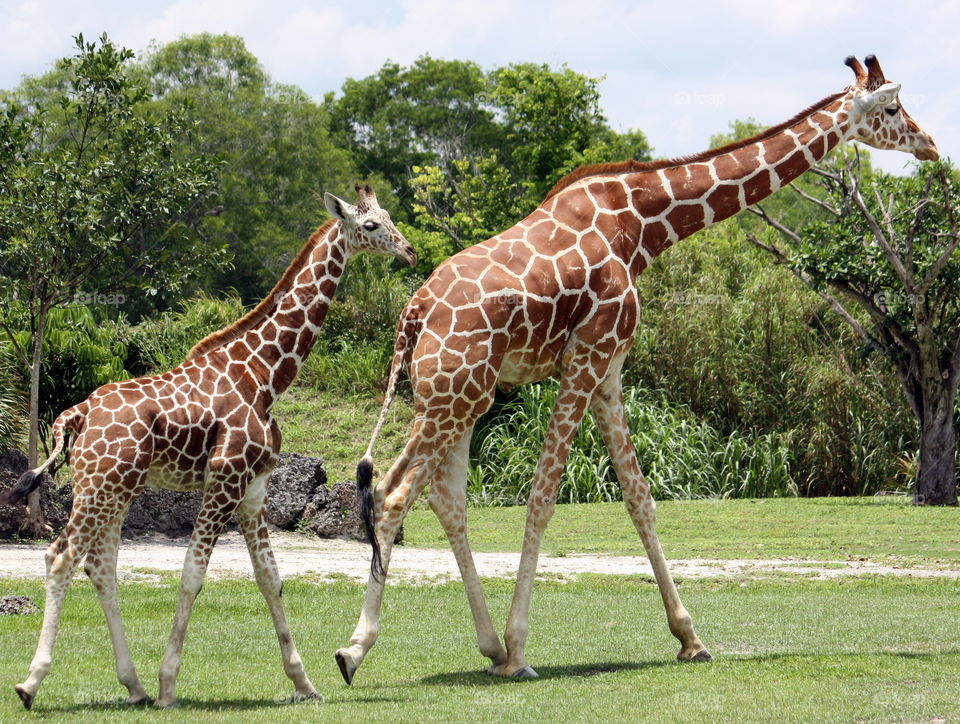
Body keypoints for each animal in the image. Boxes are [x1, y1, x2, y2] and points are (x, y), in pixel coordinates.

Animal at [2, 184, 416, 708]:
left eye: (388, 216)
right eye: (370, 225)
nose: (409, 250)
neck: (264, 374)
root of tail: (75, 414)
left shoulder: (253, 488)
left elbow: (270, 579)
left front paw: (304, 683)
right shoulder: (224, 478)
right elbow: (193, 576)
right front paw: (169, 686)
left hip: (113, 488)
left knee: (100, 566)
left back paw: (133, 685)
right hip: (102, 486)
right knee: (61, 557)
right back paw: (31, 683)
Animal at [336, 58, 936, 684]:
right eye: (893, 108)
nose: (931, 146)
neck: (642, 224)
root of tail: (411, 314)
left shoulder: (609, 369)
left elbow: (639, 496)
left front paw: (690, 638)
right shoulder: (588, 355)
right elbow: (544, 495)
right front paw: (523, 650)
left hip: (457, 397)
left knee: (439, 496)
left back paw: (486, 649)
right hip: (454, 395)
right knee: (395, 494)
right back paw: (358, 650)